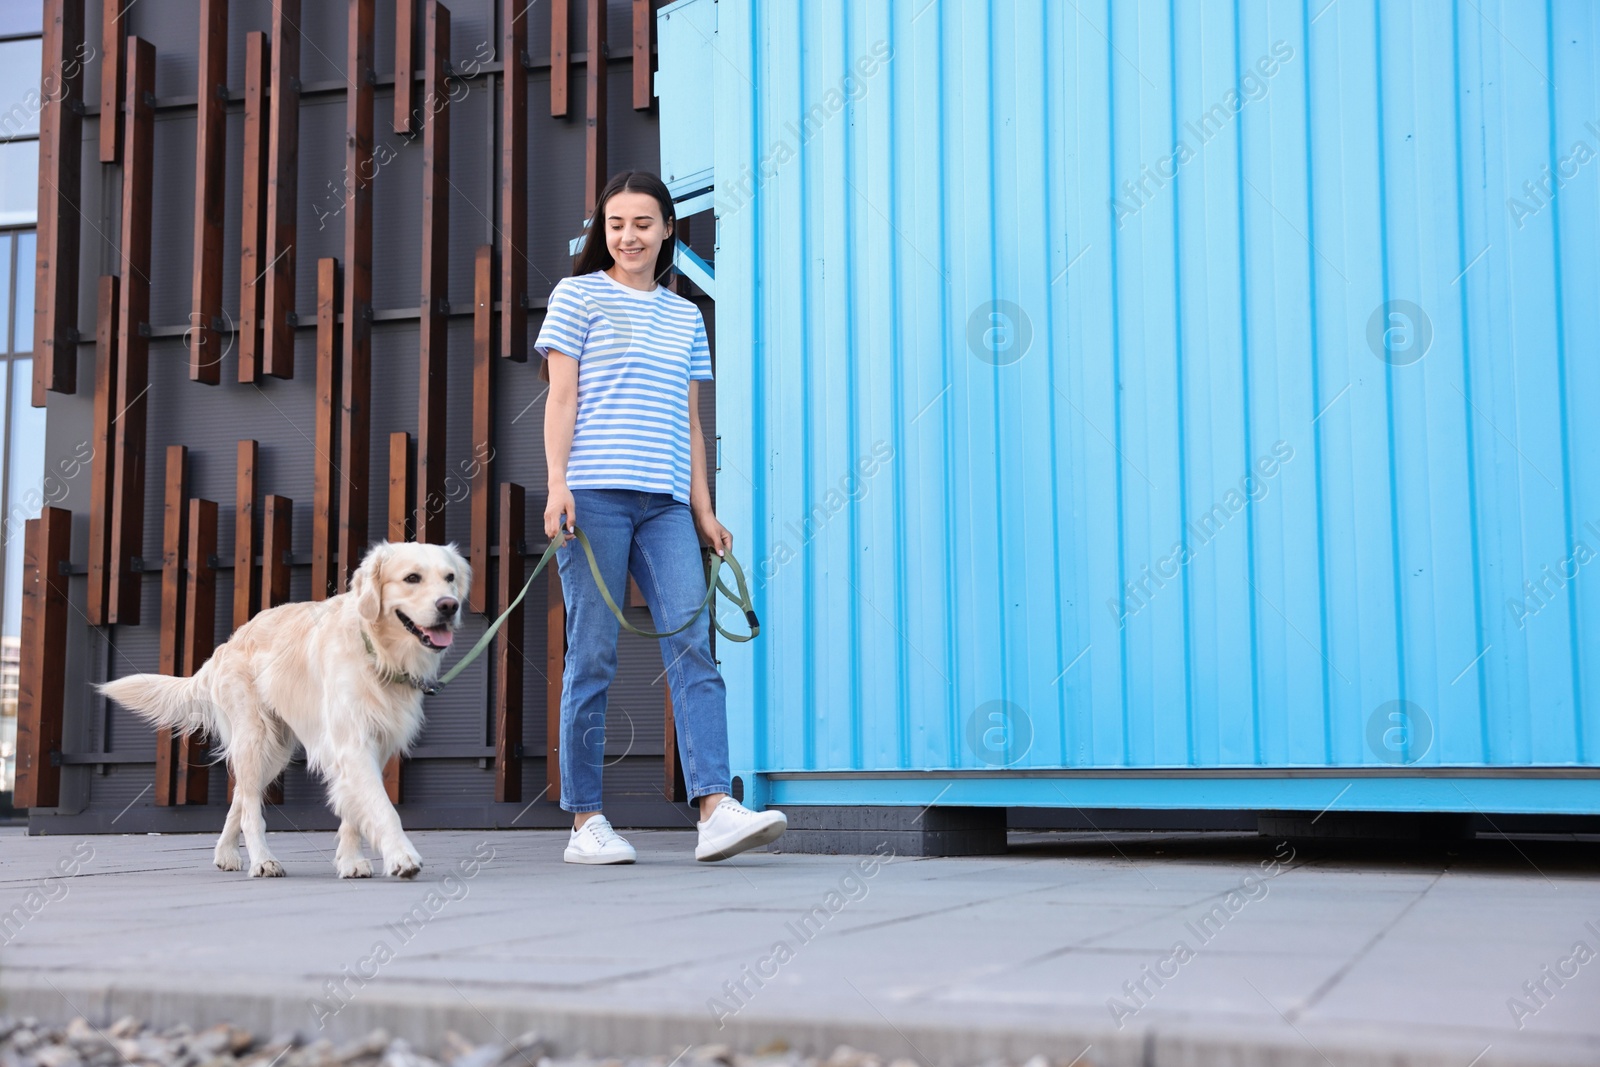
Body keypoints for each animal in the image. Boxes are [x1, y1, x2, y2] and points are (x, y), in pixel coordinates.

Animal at [96, 547, 467, 883]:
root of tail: (226, 646)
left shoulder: (373, 744)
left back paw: (226, 854)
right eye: (412, 578)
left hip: (273, 751)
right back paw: (262, 861)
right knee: (249, 810)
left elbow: (354, 810)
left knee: (240, 798)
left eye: (449, 577)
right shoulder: (352, 743)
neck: (376, 650)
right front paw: (402, 857)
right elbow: (381, 807)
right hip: (256, 739)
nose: (450, 606)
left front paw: (351, 862)